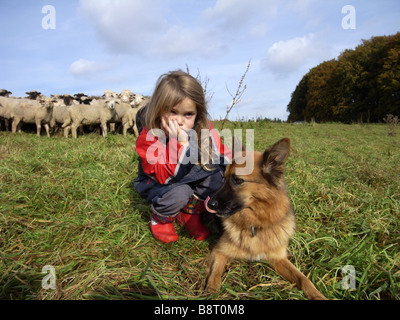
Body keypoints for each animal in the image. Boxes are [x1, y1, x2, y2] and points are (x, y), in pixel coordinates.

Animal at [205, 138, 326, 300]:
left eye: (237, 180)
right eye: (223, 178)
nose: (209, 204)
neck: (255, 224)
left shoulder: (279, 258)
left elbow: (303, 278)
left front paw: (317, 295)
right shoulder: (219, 251)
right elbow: (215, 274)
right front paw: (211, 292)